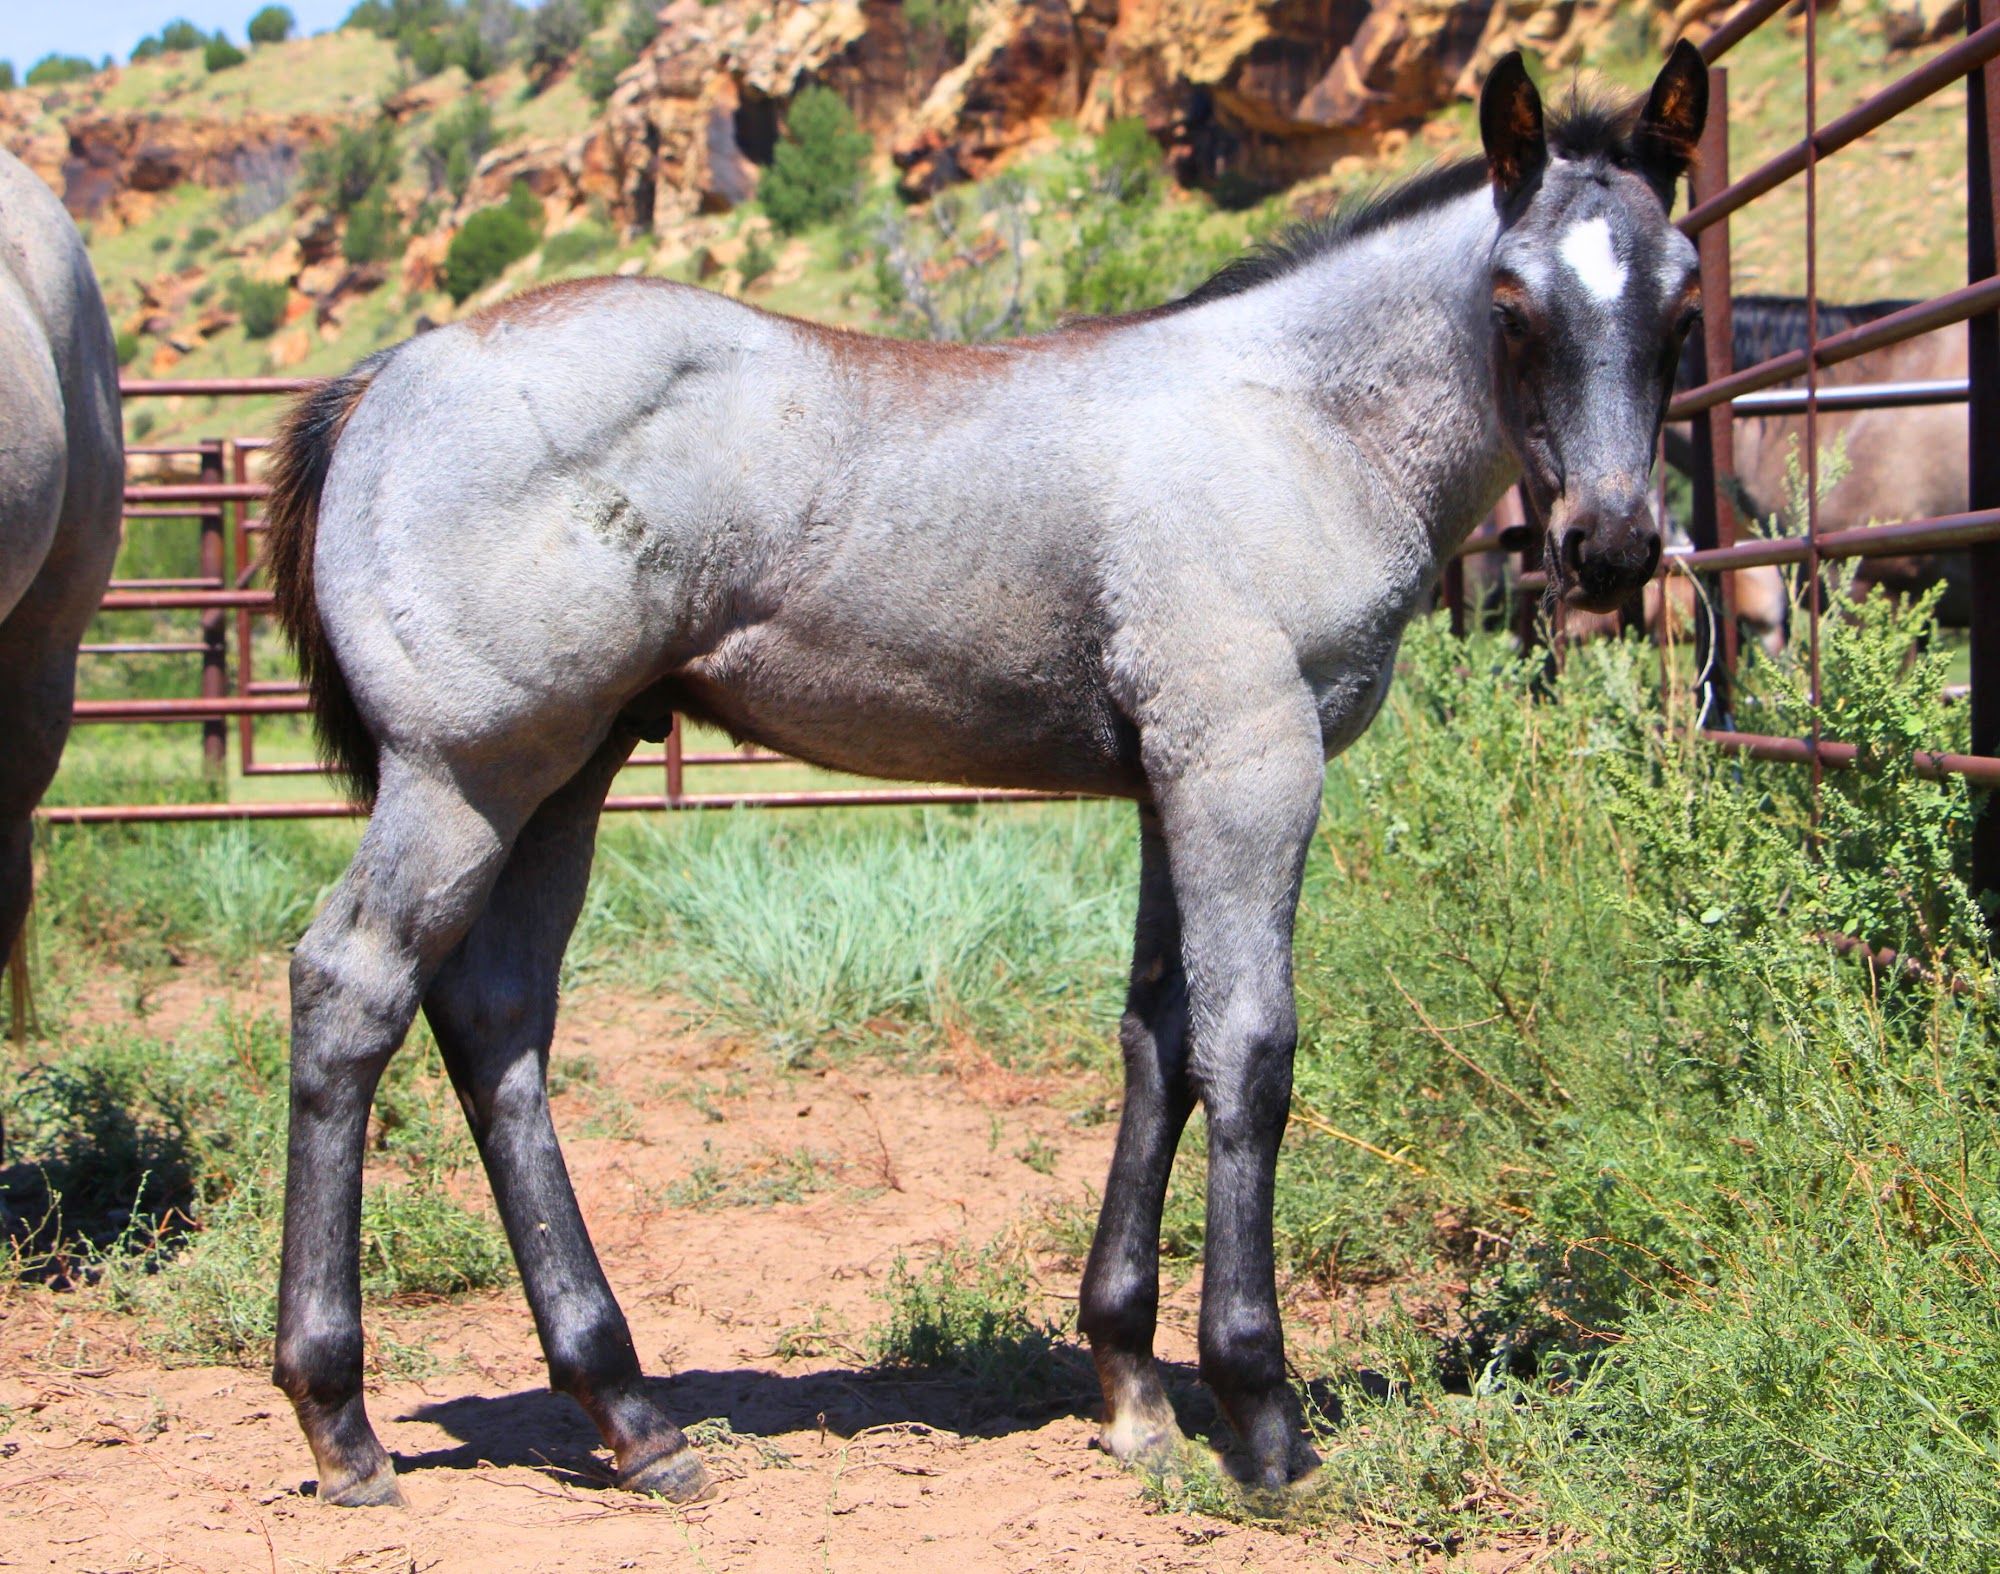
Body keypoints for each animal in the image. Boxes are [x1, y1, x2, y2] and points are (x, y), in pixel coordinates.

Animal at [262, 45, 1709, 1505]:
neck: (1300, 418)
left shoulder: (1169, 779)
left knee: (497, 1016)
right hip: (465, 774)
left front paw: (1131, 1385)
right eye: (1513, 301)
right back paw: (342, 1418)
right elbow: (1249, 1048)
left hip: (565, 772)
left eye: (1682, 298)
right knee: (351, 988)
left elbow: (1157, 1040)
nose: (1611, 547)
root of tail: (391, 371)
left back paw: (629, 1409)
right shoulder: (1247, 759)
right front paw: (1259, 1409)